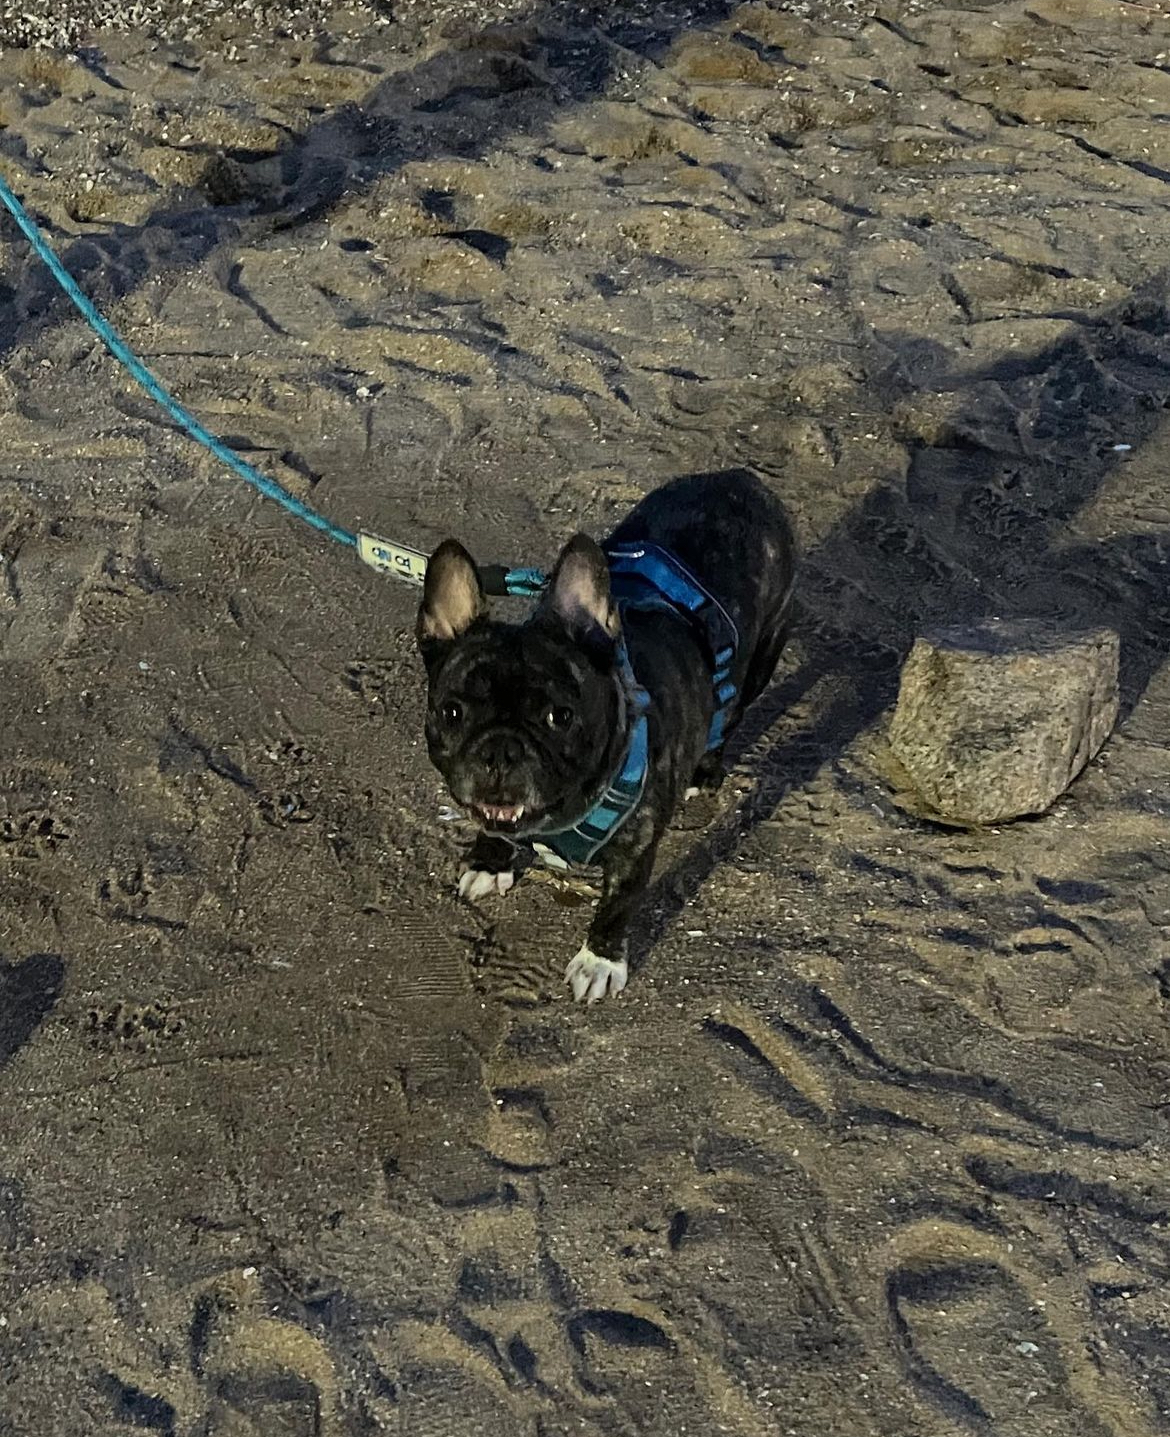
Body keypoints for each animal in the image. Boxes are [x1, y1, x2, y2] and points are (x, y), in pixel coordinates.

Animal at [416, 468, 795, 1002]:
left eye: (560, 716)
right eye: (452, 712)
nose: (501, 750)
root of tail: (742, 480)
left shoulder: (635, 851)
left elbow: (617, 906)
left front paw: (600, 960)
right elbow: (494, 827)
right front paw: (490, 862)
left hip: (761, 660)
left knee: (733, 711)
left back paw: (706, 771)